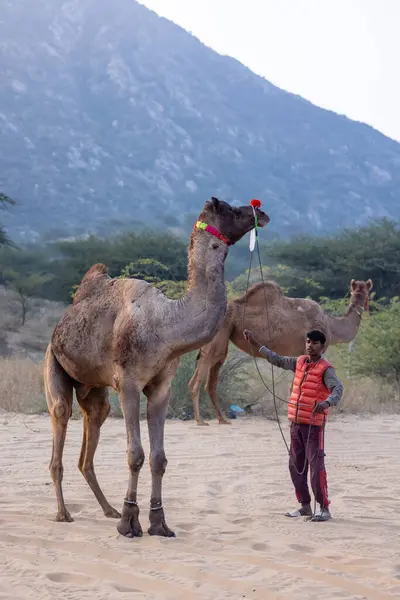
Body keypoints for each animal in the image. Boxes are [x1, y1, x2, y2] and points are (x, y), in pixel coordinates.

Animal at [43, 198, 268, 540]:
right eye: (232, 209)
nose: (262, 212)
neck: (166, 324)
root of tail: (60, 326)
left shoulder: (162, 387)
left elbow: (159, 458)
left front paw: (159, 523)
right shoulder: (129, 384)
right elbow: (135, 454)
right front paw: (129, 522)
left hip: (93, 389)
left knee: (91, 430)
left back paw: (107, 510)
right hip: (53, 362)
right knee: (60, 414)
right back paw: (63, 513)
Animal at [189, 278, 374, 424]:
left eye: (364, 293)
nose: (366, 308)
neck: (331, 326)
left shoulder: (299, 354)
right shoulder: (306, 349)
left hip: (223, 338)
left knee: (211, 378)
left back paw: (222, 419)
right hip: (219, 334)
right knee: (201, 373)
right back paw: (200, 420)